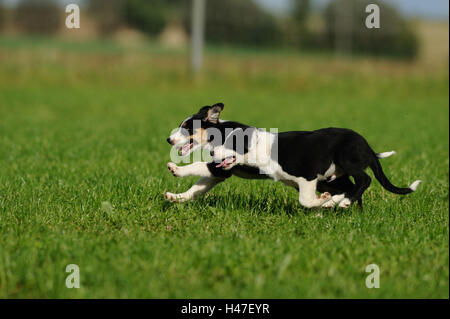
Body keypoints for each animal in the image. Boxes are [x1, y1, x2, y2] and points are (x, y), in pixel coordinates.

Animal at [165, 104, 422, 210]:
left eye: (186, 127)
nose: (169, 140)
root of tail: (367, 145)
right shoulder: (221, 171)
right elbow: (197, 188)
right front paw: (175, 197)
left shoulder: (307, 176)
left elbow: (305, 200)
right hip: (332, 177)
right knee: (350, 187)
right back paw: (340, 204)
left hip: (345, 161)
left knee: (364, 180)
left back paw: (340, 202)